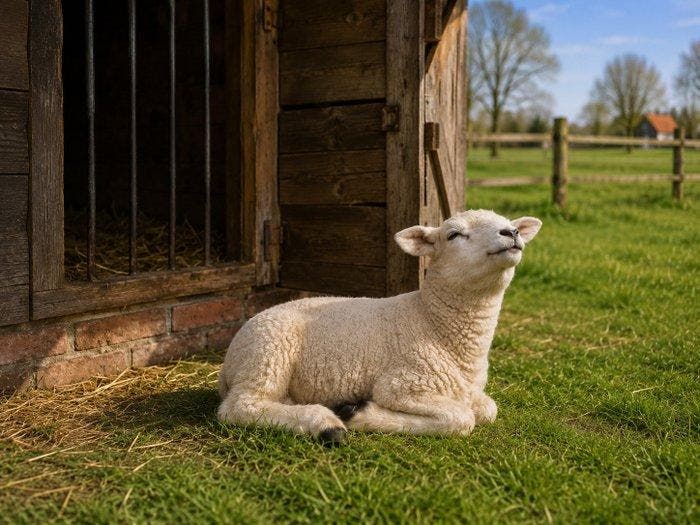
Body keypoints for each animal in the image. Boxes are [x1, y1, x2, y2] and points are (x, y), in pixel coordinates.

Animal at [218, 209, 542, 444]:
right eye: (453, 234)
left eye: (508, 223)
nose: (511, 232)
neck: (432, 322)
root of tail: (228, 363)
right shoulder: (404, 384)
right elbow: (462, 418)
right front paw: (359, 413)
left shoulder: (468, 389)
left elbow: (488, 409)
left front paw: (355, 410)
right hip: (269, 352)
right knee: (241, 406)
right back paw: (324, 424)